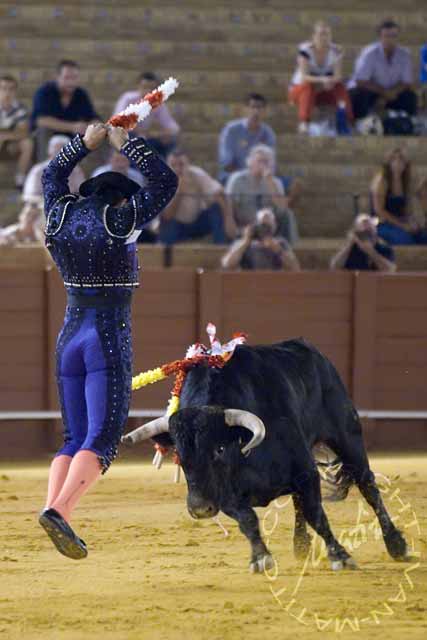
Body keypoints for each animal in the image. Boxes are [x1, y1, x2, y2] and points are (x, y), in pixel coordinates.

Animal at [122, 338, 410, 572]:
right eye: (180, 456)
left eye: (219, 449)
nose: (199, 508)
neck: (245, 452)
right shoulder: (224, 495)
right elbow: (249, 520)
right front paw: (260, 557)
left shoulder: (305, 471)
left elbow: (316, 514)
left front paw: (340, 555)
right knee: (298, 501)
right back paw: (300, 545)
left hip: (347, 436)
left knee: (368, 485)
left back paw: (397, 545)